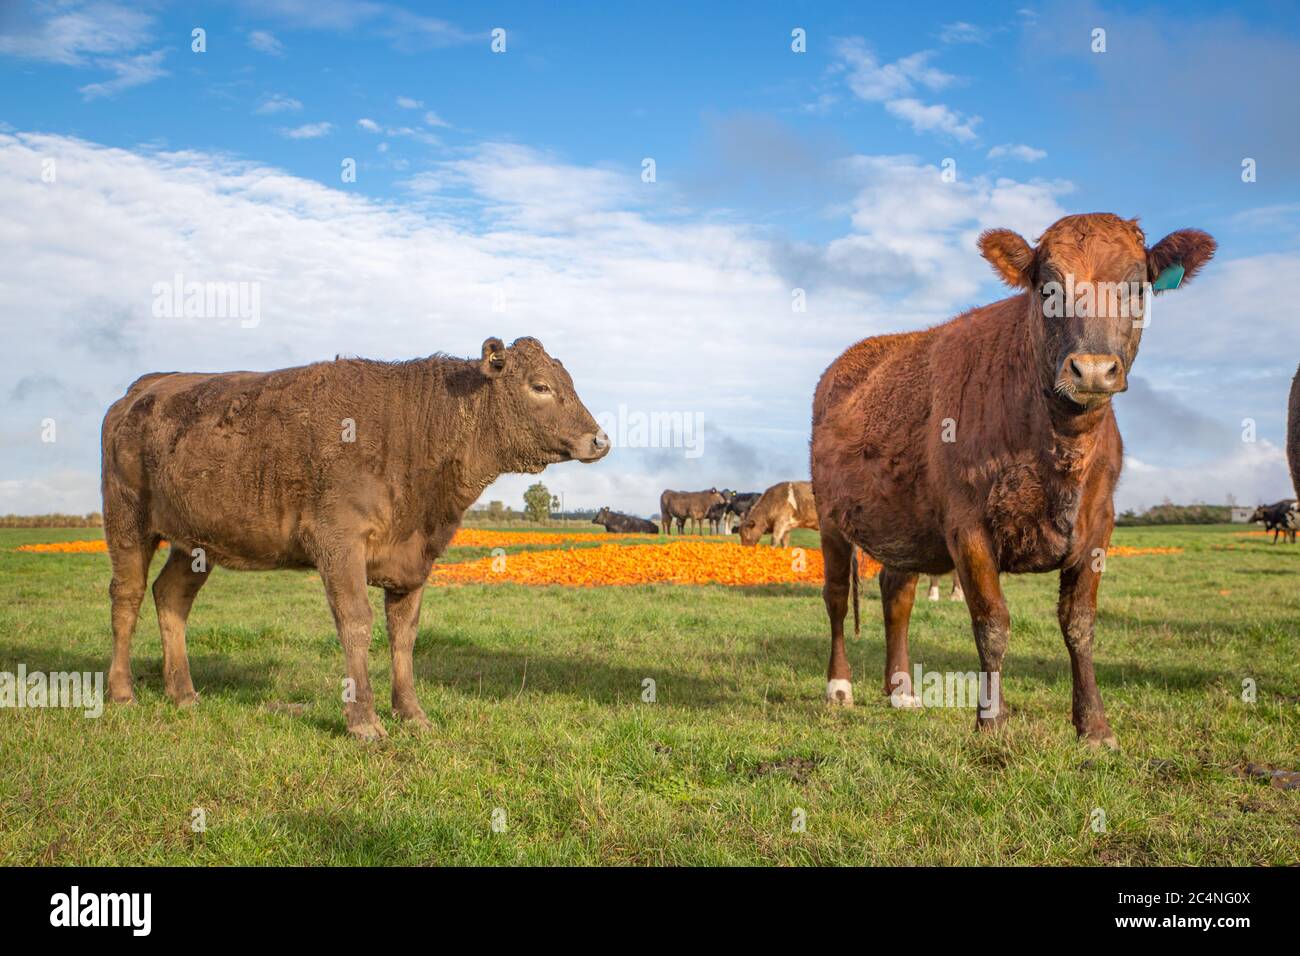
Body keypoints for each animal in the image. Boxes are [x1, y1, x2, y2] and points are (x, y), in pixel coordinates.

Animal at [102, 335, 608, 738]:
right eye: (540, 386)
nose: (600, 439)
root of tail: (143, 388)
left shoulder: (413, 561)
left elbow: (403, 634)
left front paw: (412, 713)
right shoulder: (338, 542)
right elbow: (357, 623)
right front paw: (364, 720)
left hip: (195, 543)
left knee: (171, 597)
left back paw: (183, 692)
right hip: (127, 520)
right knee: (127, 597)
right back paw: (122, 692)